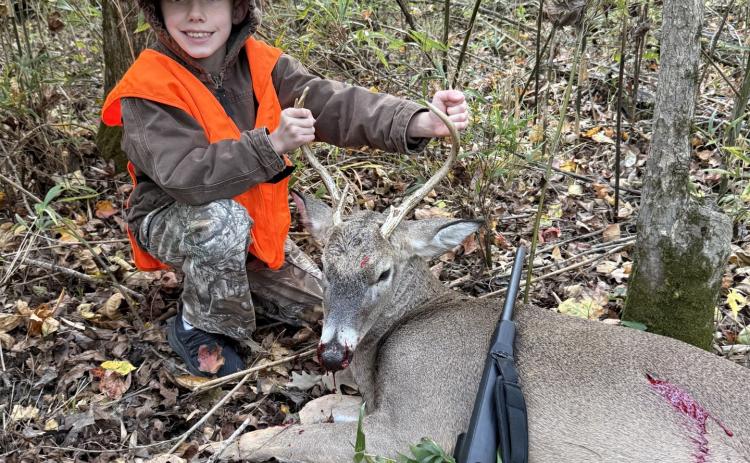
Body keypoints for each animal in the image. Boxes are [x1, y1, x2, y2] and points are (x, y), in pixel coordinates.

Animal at [215, 104, 750, 463]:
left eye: (383, 272)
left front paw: (236, 443)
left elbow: (297, 434)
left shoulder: (418, 421)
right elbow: (316, 410)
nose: (330, 353)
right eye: (326, 266)